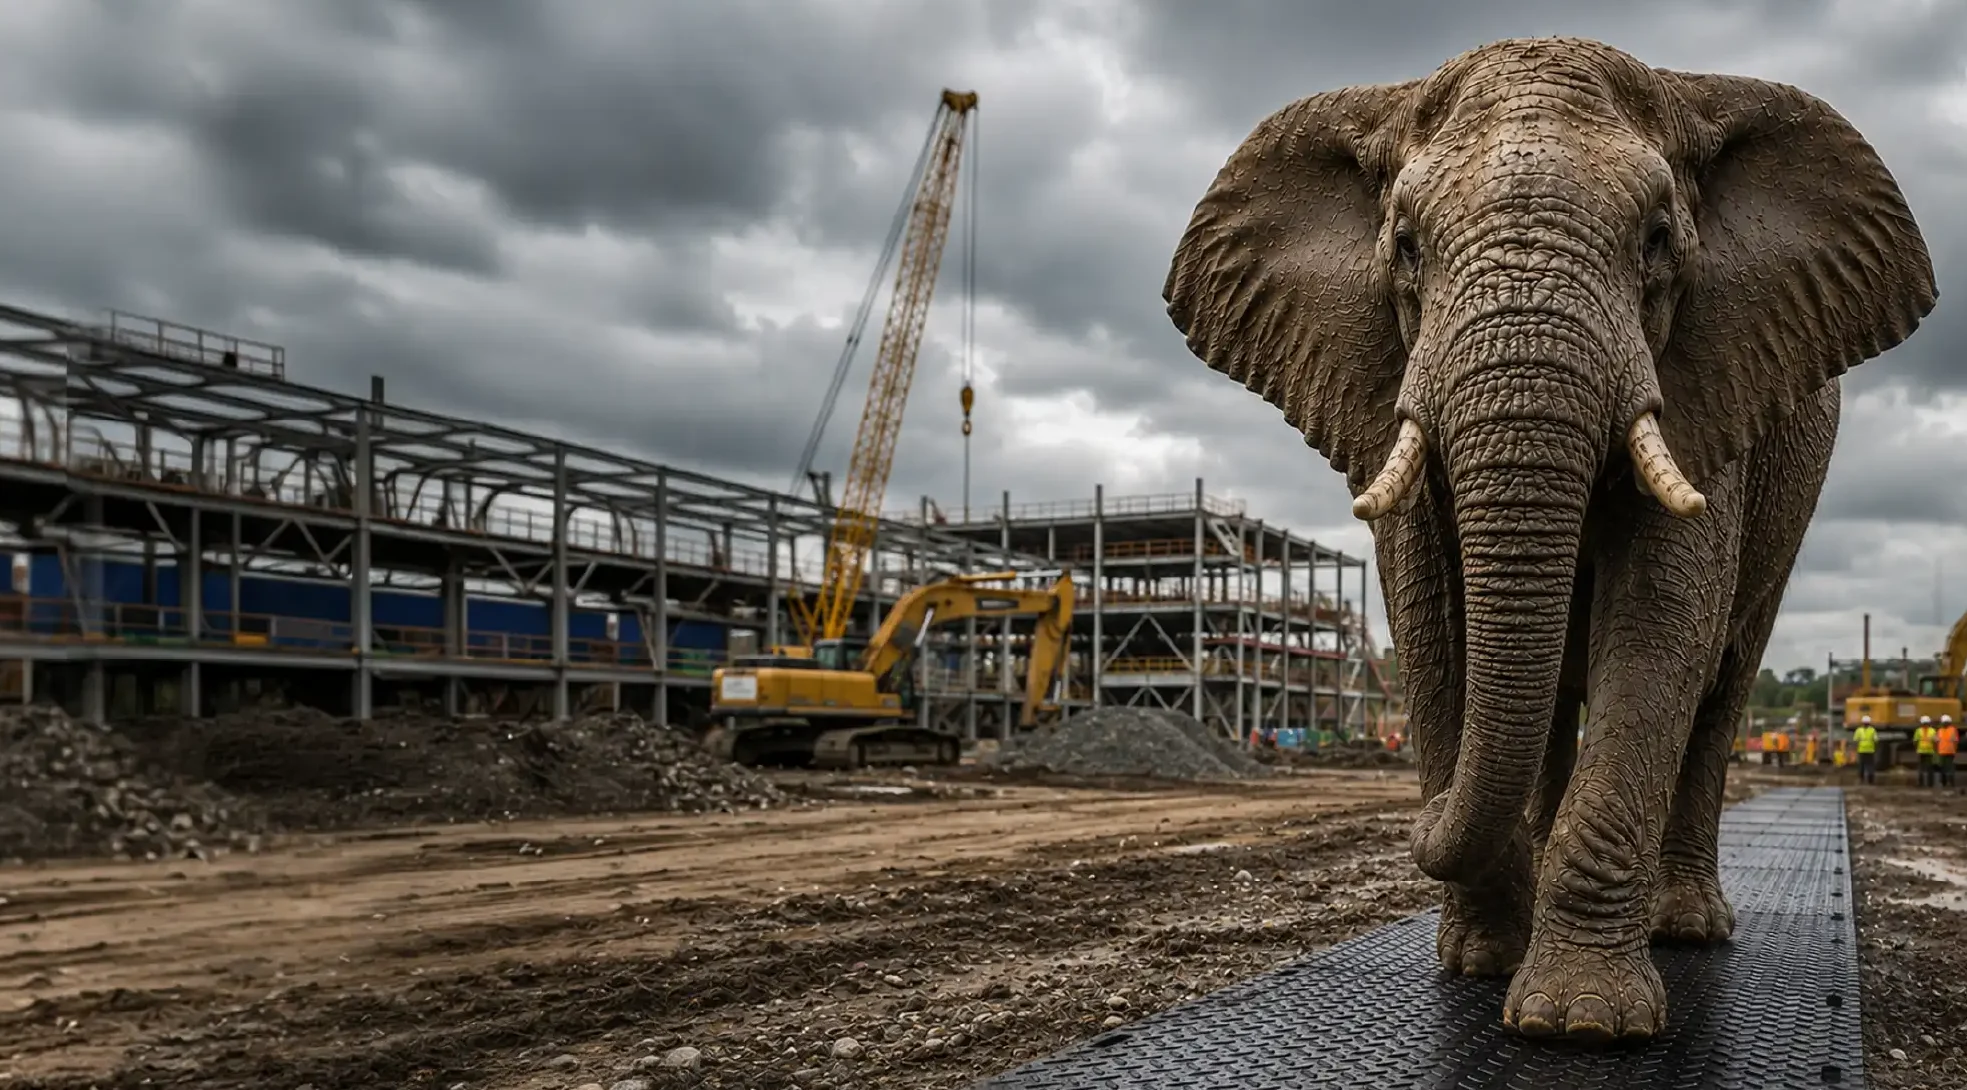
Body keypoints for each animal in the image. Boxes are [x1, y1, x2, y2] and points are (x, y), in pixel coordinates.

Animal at [1163, 37, 1936, 1043]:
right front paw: (1480, 962)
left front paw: (1578, 1023)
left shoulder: (1711, 379)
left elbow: (1659, 619)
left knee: (1721, 683)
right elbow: (1427, 621)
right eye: (1404, 245)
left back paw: (1686, 926)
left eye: (1657, 239)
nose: (1416, 819)